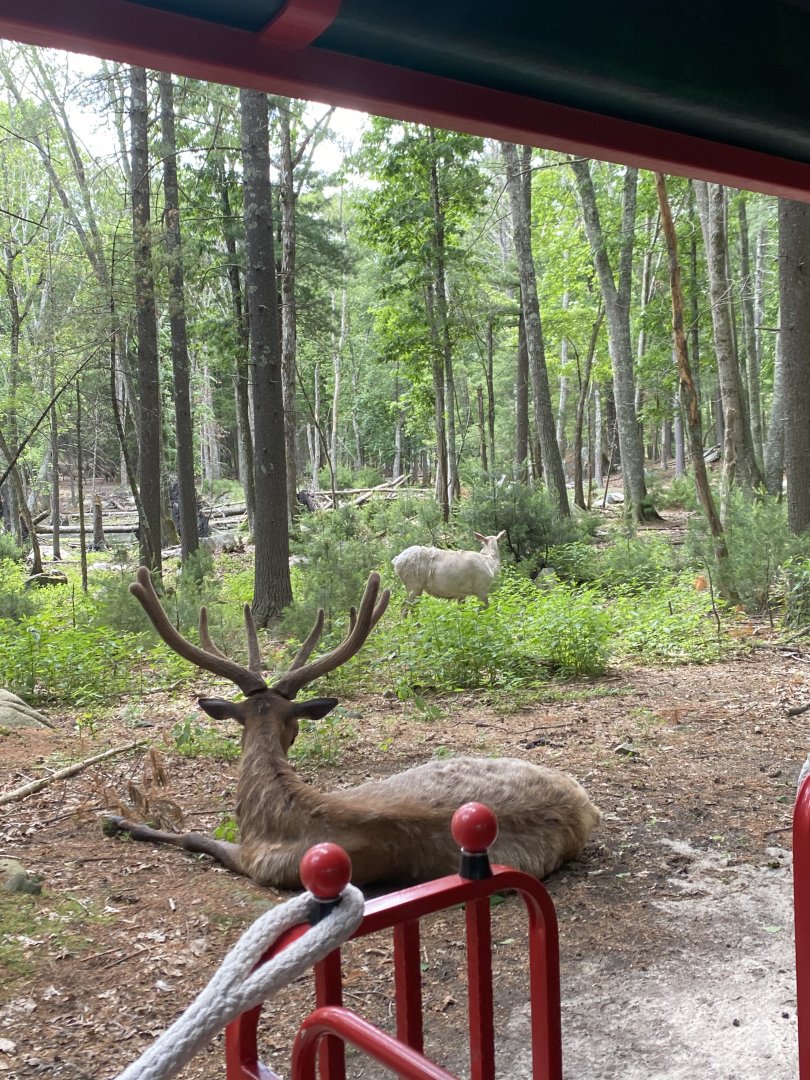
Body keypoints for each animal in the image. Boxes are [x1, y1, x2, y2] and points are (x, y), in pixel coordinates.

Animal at [103, 567, 601, 889]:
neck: (270, 804)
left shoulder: (257, 860)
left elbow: (192, 837)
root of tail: (584, 807)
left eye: (293, 728)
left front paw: (120, 821)